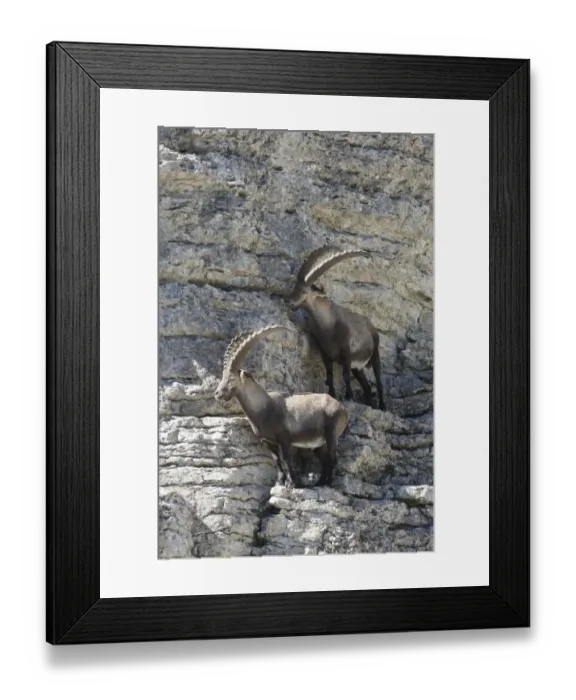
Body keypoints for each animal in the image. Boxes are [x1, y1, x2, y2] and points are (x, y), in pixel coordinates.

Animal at [214, 325, 349, 488]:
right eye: (223, 377)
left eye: (231, 379)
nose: (217, 393)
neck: (264, 408)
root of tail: (343, 409)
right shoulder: (268, 441)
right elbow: (276, 461)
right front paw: (279, 482)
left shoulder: (285, 439)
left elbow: (286, 460)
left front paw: (291, 483)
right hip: (319, 443)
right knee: (326, 460)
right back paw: (319, 483)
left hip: (331, 433)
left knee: (333, 458)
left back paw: (328, 484)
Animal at [287, 246, 386, 411]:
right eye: (294, 287)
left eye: (304, 291)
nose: (290, 303)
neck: (328, 326)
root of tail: (370, 325)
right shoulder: (325, 352)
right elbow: (329, 373)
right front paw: (332, 394)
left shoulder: (346, 352)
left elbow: (344, 374)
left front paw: (348, 396)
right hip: (357, 368)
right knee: (366, 386)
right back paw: (369, 404)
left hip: (374, 353)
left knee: (378, 379)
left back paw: (382, 406)